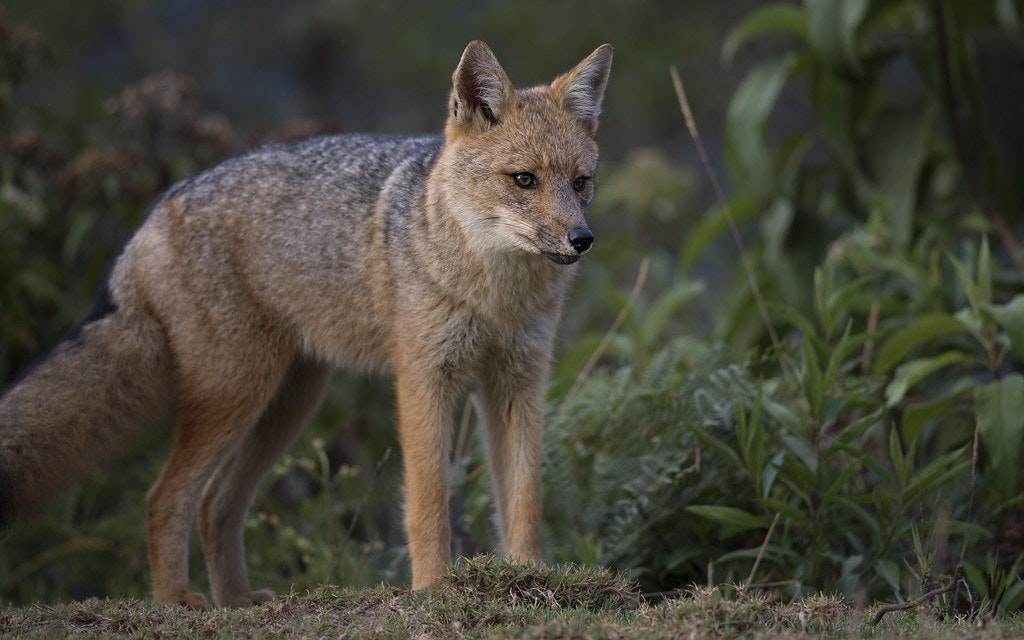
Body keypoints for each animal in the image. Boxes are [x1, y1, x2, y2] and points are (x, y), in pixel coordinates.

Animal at [0, 41, 612, 608]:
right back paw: (177, 600)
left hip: (285, 404)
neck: (495, 295)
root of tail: (156, 212)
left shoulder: (518, 383)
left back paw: (237, 601)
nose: (582, 240)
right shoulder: (423, 380)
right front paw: (433, 590)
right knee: (164, 499)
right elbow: (428, 504)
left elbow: (524, 501)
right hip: (236, 394)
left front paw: (530, 579)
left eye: (580, 182)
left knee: (214, 504)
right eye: (524, 180)